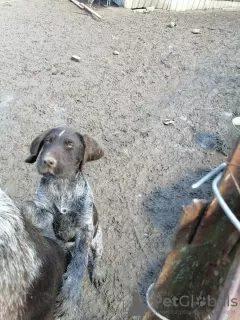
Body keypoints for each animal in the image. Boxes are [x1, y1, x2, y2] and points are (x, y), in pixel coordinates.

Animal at [21, 127, 105, 318]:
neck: (62, 185)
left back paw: (97, 272)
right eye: (47, 141)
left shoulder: (84, 230)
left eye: (70, 145)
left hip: (97, 242)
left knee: (96, 257)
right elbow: (30, 207)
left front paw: (69, 300)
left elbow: (78, 268)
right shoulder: (42, 208)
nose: (47, 161)